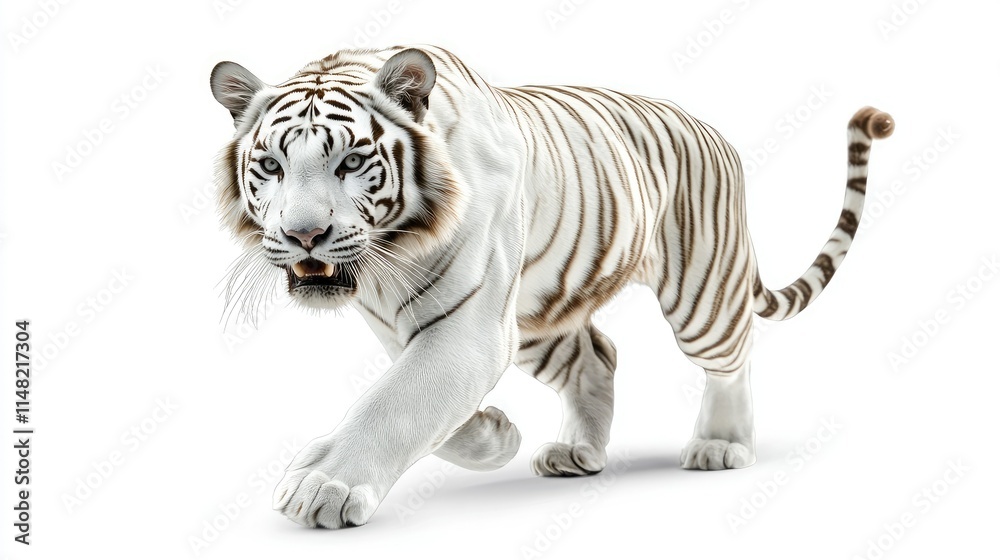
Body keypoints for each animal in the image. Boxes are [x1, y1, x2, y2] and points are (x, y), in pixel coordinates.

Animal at [209, 45, 893, 528]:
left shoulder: (471, 327)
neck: (387, 260)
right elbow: (422, 398)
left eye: (351, 161)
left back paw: (720, 445)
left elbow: (395, 399)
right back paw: (575, 455)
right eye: (270, 165)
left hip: (702, 293)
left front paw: (323, 484)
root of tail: (709, 127)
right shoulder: (409, 324)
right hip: (538, 316)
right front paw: (492, 436)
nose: (303, 235)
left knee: (734, 356)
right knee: (598, 357)